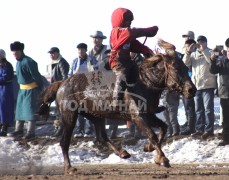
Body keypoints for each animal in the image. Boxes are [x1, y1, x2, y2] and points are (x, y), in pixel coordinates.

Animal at [38, 40, 196, 174]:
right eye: (175, 68)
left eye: (186, 67)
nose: (191, 90)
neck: (144, 82)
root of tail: (62, 83)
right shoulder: (138, 116)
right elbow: (152, 134)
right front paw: (163, 159)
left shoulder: (149, 115)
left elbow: (164, 127)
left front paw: (149, 148)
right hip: (69, 116)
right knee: (65, 142)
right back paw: (69, 168)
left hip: (96, 116)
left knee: (102, 137)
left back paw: (122, 153)